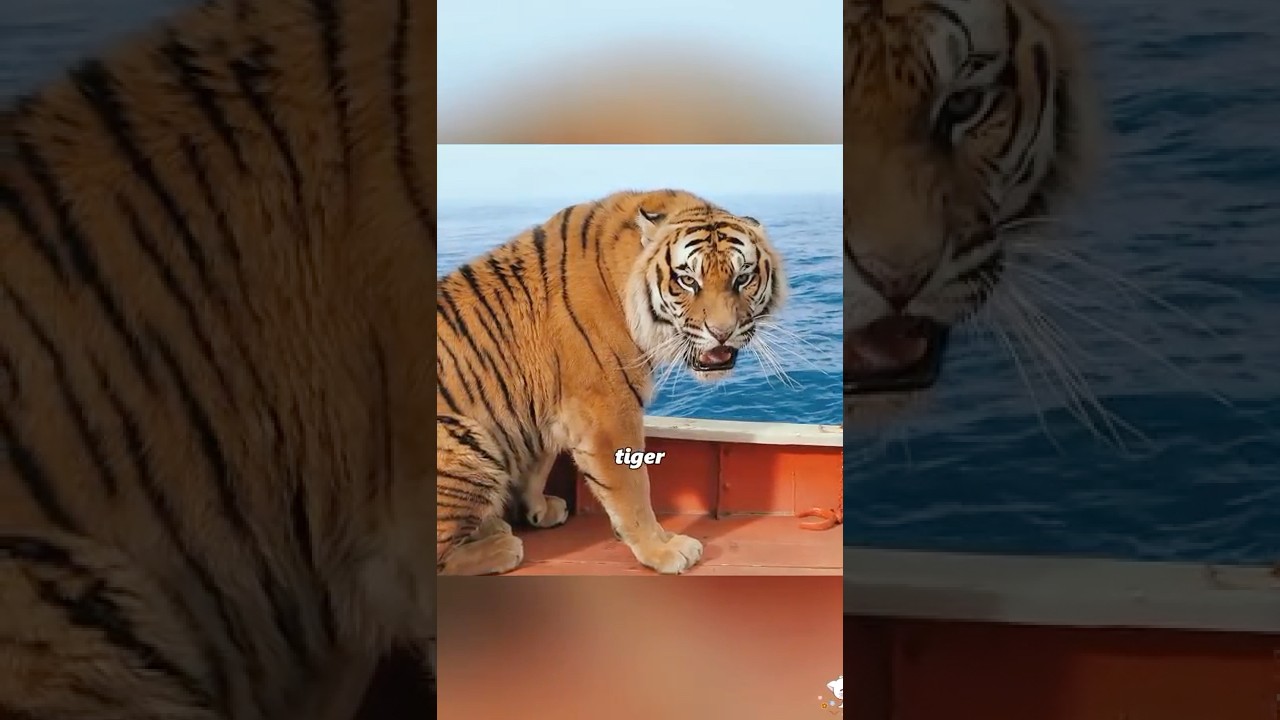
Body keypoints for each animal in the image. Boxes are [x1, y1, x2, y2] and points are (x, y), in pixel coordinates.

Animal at [435, 189, 787, 576]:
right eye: (687, 281)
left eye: (742, 278)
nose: (722, 333)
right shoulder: (608, 413)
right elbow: (633, 489)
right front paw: (663, 550)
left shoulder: (546, 402)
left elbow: (539, 462)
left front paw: (538, 509)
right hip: (466, 440)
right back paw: (501, 544)